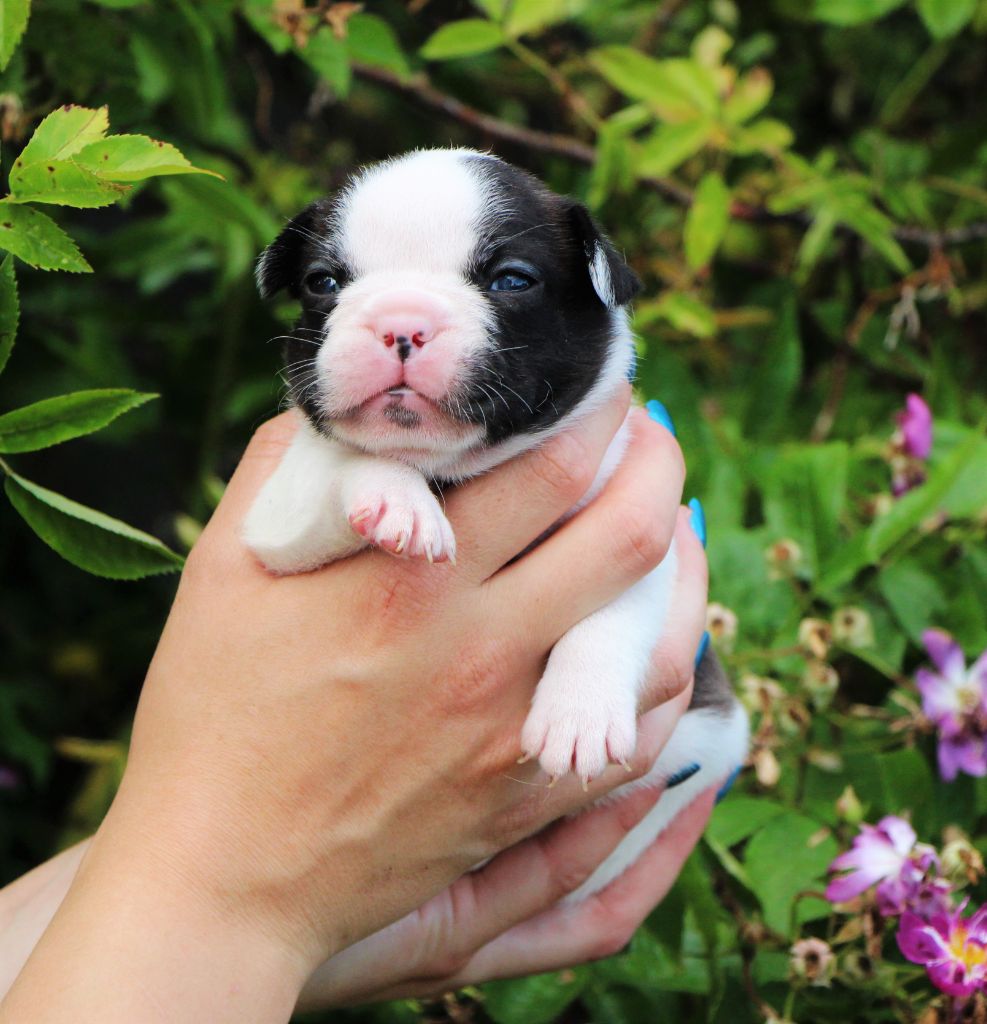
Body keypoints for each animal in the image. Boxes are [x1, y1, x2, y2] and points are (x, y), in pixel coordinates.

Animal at [243, 149, 748, 899]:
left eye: (511, 280)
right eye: (323, 282)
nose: (401, 321)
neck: (455, 468)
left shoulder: (644, 536)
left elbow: (610, 616)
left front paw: (579, 713)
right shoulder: (276, 520)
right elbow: (345, 460)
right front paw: (396, 500)